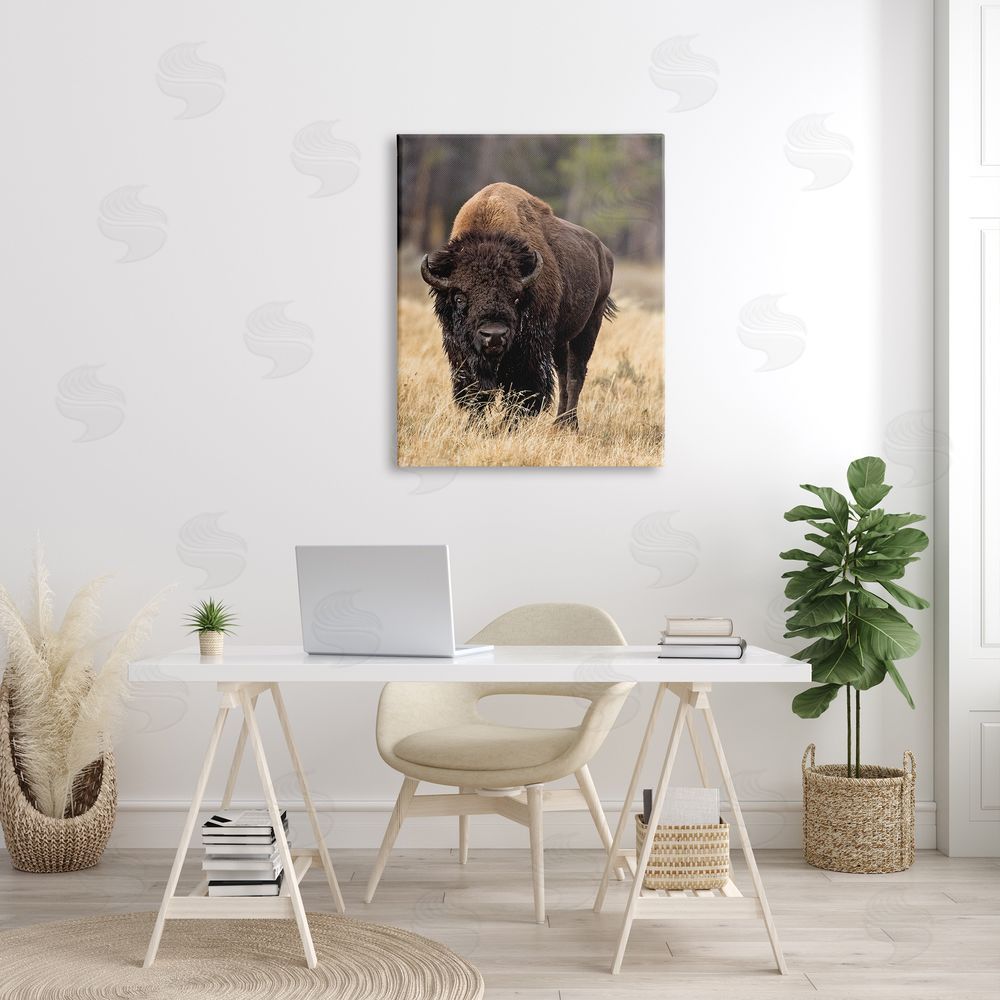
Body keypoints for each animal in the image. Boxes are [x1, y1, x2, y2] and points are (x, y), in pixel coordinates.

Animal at [420, 182, 615, 430]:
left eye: (515, 297)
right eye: (459, 298)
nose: (494, 335)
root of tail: (604, 253)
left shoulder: (529, 351)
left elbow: (521, 390)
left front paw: (508, 426)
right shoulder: (461, 352)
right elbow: (476, 390)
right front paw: (475, 426)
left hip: (590, 324)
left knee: (575, 374)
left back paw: (569, 424)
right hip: (560, 339)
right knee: (563, 373)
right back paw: (558, 423)